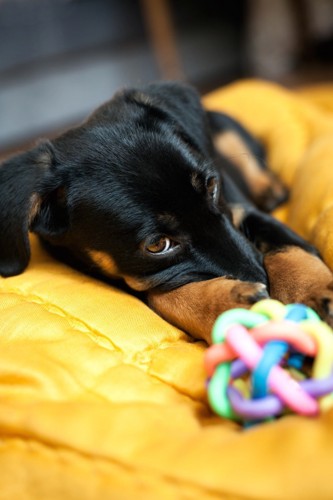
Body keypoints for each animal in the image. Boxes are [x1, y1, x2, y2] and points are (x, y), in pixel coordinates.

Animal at [0, 82, 332, 342]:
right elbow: (161, 295)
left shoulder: (242, 211)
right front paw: (227, 306)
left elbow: (288, 248)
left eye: (213, 186)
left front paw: (315, 292)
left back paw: (270, 190)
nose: (261, 278)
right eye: (158, 245)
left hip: (224, 126)